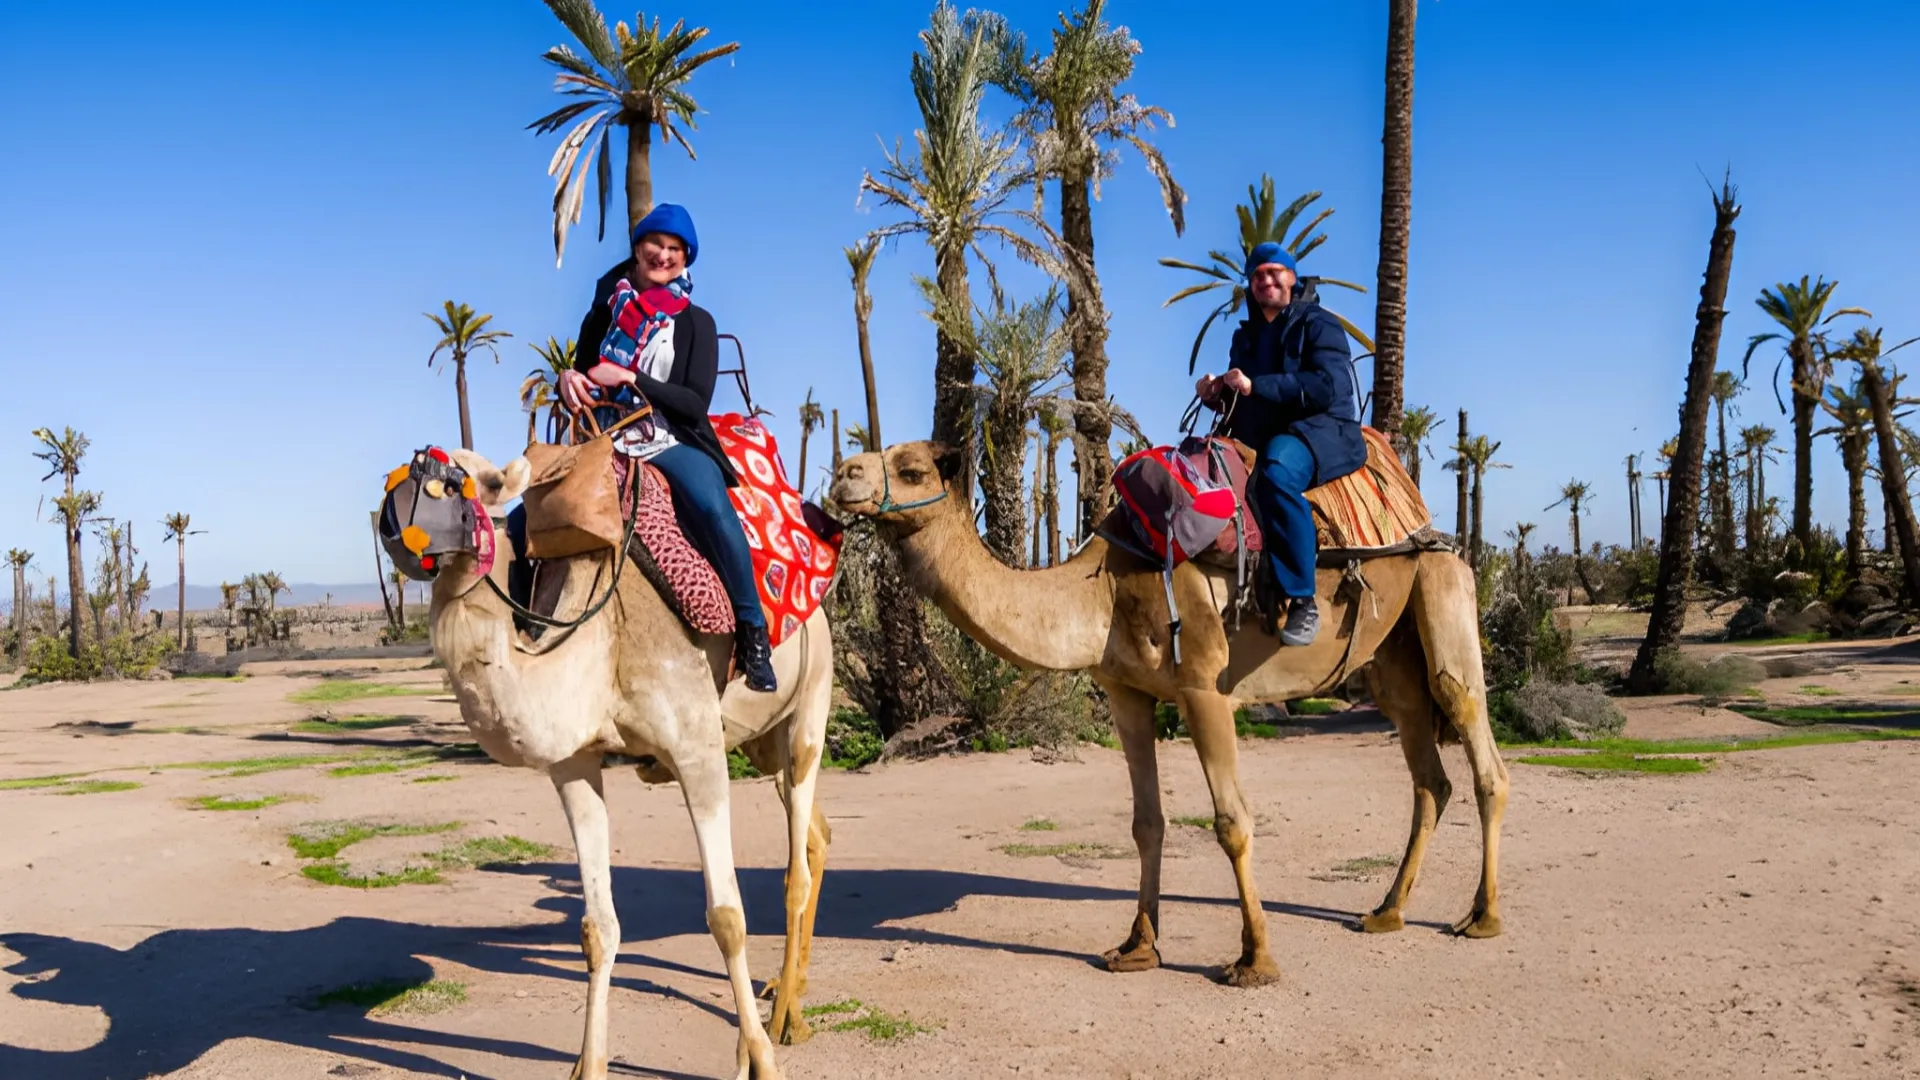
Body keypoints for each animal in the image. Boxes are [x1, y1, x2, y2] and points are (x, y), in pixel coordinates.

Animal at [386, 448, 835, 1080]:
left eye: (468, 483)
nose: (394, 521)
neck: (602, 638)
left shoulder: (697, 748)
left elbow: (727, 918)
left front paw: (761, 1063)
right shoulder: (574, 763)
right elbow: (597, 928)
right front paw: (589, 1064)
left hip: (810, 700)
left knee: (795, 864)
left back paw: (785, 1020)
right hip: (760, 741)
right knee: (816, 833)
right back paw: (788, 995)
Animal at [830, 441, 1509, 986]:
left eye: (912, 469)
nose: (842, 474)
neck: (1101, 591)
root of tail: (1430, 529)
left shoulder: (1204, 687)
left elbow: (1232, 823)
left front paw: (1254, 961)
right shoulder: (1127, 693)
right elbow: (1146, 822)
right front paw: (1137, 947)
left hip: (1443, 590)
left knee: (1474, 735)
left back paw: (1482, 917)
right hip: (1392, 657)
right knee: (1429, 774)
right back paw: (1386, 911)